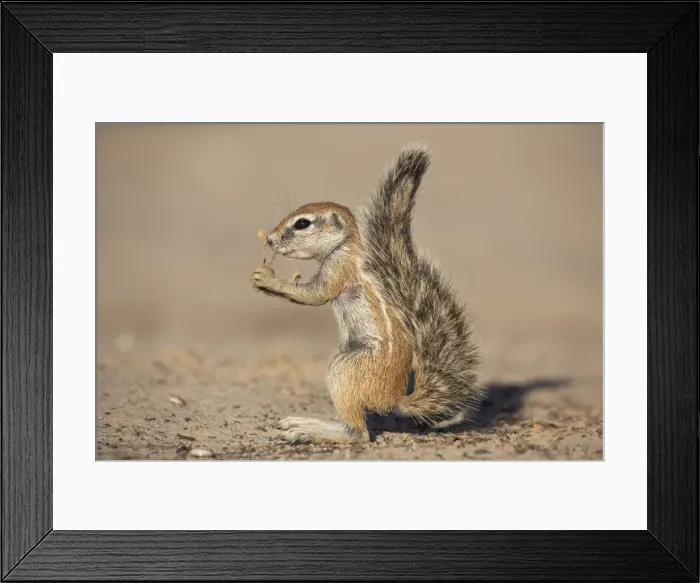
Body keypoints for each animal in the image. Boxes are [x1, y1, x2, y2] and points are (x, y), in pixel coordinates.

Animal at [250, 145, 482, 444]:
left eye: (302, 223)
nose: (269, 239)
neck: (347, 246)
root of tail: (393, 399)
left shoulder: (339, 268)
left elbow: (316, 295)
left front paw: (266, 278)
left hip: (346, 369)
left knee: (358, 433)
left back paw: (308, 429)